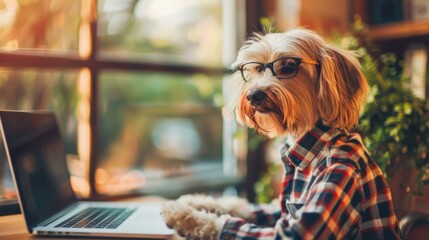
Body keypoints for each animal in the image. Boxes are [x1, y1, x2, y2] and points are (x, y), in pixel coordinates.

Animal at [159, 29, 400, 239]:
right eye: (256, 68)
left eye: (288, 66)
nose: (253, 95)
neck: (316, 142)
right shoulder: (277, 208)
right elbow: (245, 207)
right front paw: (198, 201)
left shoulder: (336, 175)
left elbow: (228, 224)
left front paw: (182, 214)